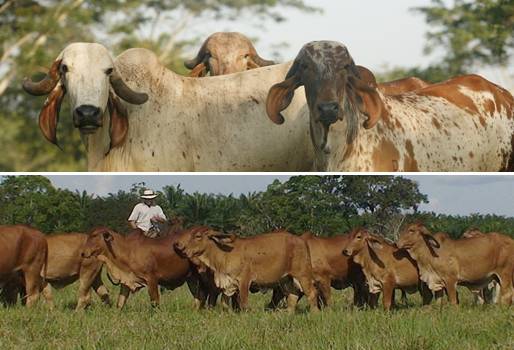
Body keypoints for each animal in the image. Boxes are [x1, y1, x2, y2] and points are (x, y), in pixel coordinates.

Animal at [81, 227, 212, 308]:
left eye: (94, 235)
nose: (82, 253)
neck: (126, 251)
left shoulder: (152, 279)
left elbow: (155, 301)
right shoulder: (127, 280)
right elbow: (120, 302)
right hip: (191, 278)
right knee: (199, 296)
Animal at [173, 227, 316, 312]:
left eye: (198, 236)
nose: (182, 248)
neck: (224, 255)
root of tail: (301, 240)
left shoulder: (244, 281)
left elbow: (244, 304)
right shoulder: (229, 285)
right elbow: (225, 304)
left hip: (303, 275)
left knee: (312, 294)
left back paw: (315, 314)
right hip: (286, 280)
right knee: (292, 298)